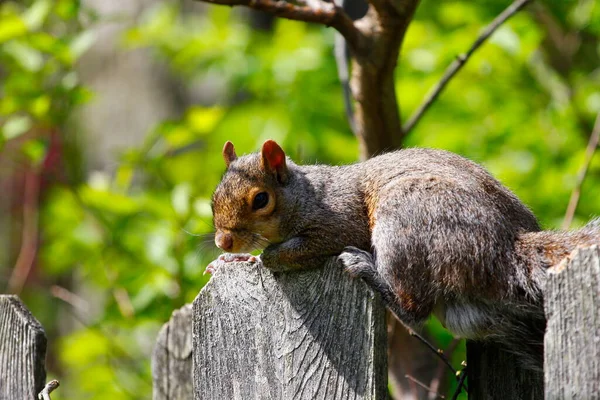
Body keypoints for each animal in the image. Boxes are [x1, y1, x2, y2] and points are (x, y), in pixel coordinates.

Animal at [207, 138, 600, 372]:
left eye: (261, 199)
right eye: (213, 198)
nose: (224, 242)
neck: (307, 195)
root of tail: (502, 250)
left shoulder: (341, 223)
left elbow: (291, 251)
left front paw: (261, 258)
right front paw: (235, 261)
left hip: (406, 218)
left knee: (414, 310)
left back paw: (367, 270)